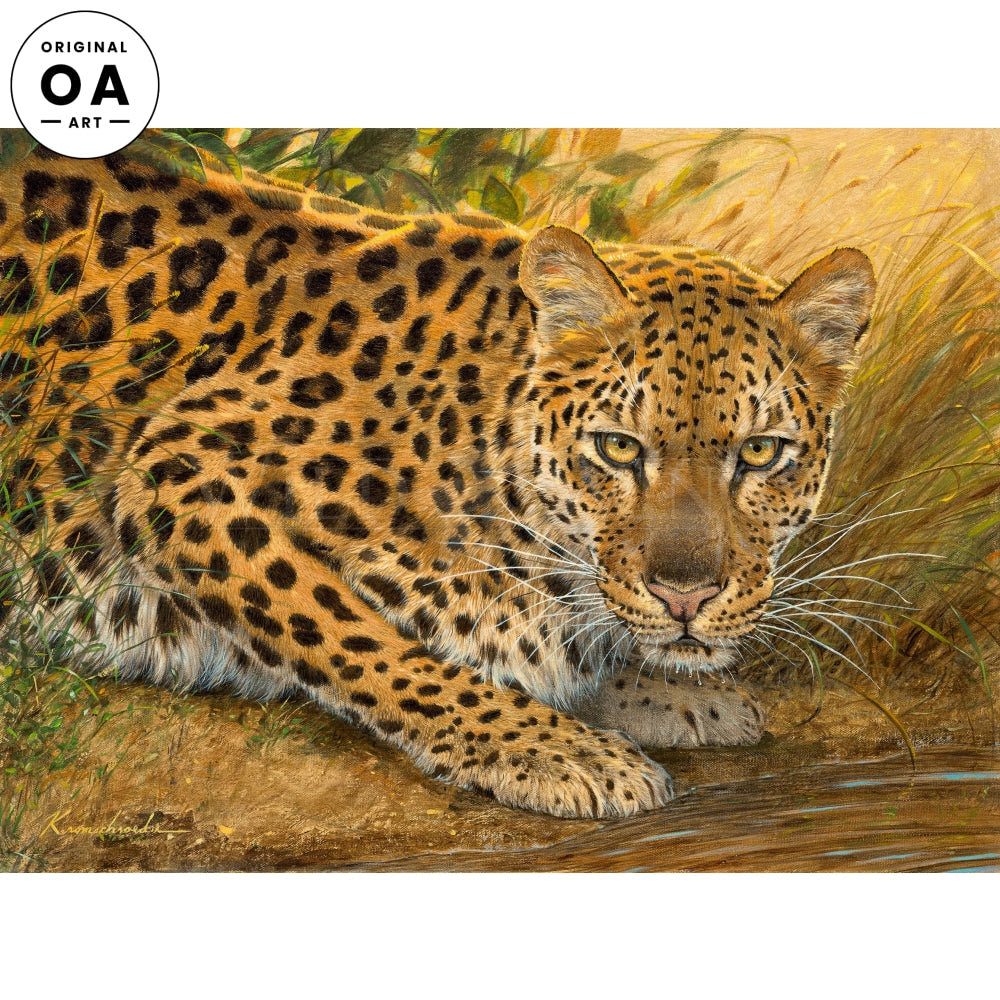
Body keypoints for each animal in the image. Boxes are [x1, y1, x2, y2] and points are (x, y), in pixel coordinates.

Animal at [0, 141, 875, 818]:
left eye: (760, 453)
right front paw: (561, 753)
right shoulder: (181, 470)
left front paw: (674, 690)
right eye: (620, 448)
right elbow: (362, 641)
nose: (686, 596)